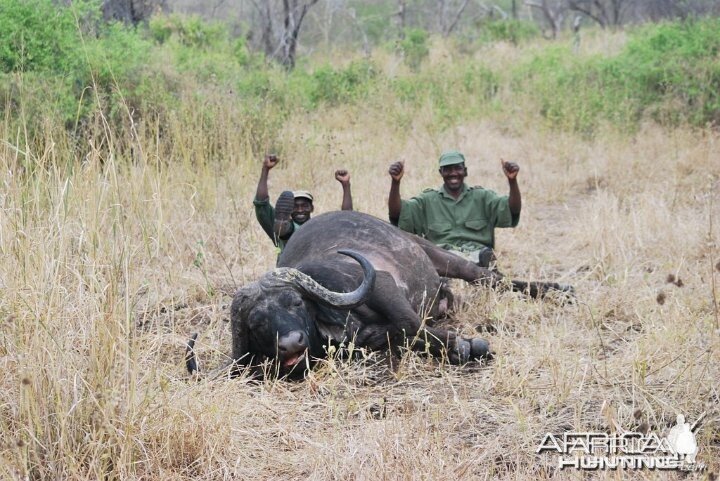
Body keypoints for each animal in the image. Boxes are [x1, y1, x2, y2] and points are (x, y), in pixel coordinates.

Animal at [187, 212, 572, 376]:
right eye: (257, 323)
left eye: (295, 302)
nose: (292, 343)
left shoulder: (382, 284)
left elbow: (408, 324)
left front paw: (467, 345)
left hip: (436, 254)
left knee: (488, 277)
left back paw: (559, 290)